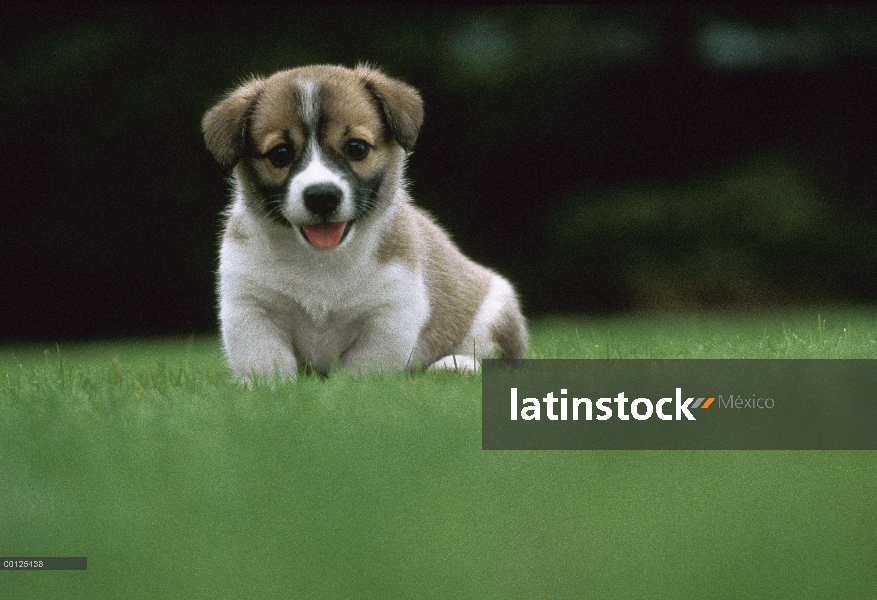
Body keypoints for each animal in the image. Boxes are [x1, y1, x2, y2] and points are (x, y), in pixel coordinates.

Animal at [202, 64, 524, 380]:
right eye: (280, 154)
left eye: (357, 148)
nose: (322, 196)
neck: (320, 261)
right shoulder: (250, 308)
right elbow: (265, 362)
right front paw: (273, 387)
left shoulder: (390, 312)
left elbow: (364, 366)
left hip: (494, 313)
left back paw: (456, 365)